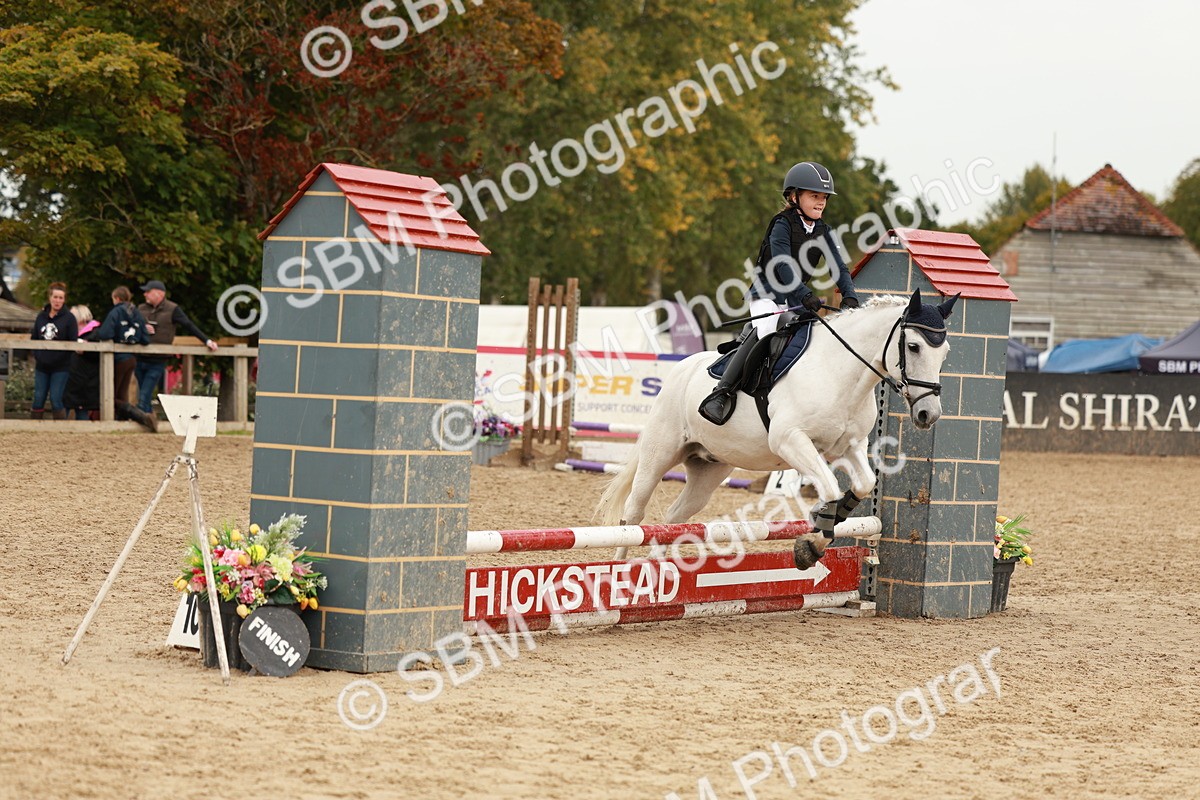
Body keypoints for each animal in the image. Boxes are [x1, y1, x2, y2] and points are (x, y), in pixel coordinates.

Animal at [597, 289, 957, 570]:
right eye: (914, 347)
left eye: (944, 352)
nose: (928, 414)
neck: (839, 371)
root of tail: (680, 369)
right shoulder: (791, 441)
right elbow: (829, 489)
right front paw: (810, 545)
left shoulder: (849, 446)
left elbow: (864, 485)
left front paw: (818, 536)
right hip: (659, 454)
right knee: (634, 514)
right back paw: (621, 573)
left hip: (709, 469)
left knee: (673, 517)